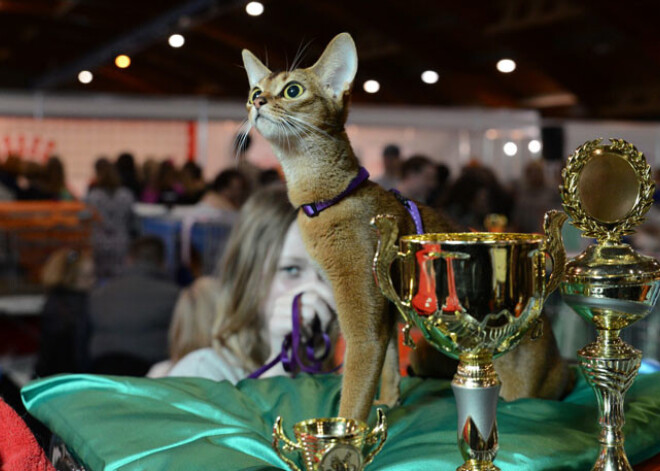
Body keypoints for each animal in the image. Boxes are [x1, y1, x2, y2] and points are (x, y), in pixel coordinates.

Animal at [242, 34, 572, 424]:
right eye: (254, 90)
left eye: (292, 90)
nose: (257, 101)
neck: (331, 197)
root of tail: (559, 364)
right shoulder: (384, 308)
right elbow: (386, 364)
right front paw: (388, 400)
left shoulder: (362, 311)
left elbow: (356, 384)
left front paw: (345, 435)